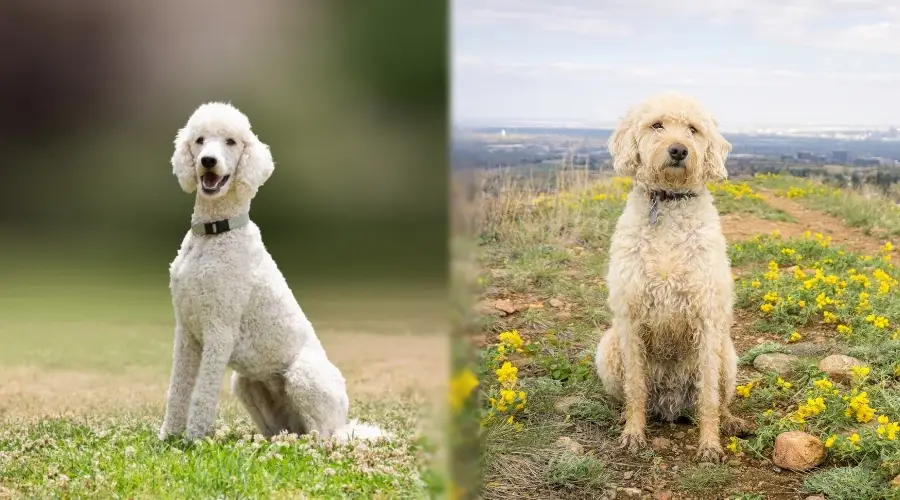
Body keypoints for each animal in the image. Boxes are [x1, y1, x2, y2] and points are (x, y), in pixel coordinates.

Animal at [158, 100, 386, 442]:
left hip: (304, 376)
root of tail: (344, 424)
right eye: (199, 140)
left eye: (231, 142)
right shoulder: (186, 332)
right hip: (245, 384)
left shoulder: (219, 331)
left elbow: (202, 394)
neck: (215, 233)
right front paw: (168, 436)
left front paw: (194, 439)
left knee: (322, 437)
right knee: (285, 431)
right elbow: (178, 388)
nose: (208, 161)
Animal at [596, 93, 748, 460]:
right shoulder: (630, 319)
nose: (678, 150)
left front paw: (709, 445)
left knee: (719, 399)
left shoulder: (707, 319)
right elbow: (635, 387)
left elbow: (708, 396)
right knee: (629, 394)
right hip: (608, 348)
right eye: (657, 125)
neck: (667, 204)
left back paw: (730, 421)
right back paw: (625, 416)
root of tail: (669, 403)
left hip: (727, 354)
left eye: (693, 129)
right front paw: (634, 434)